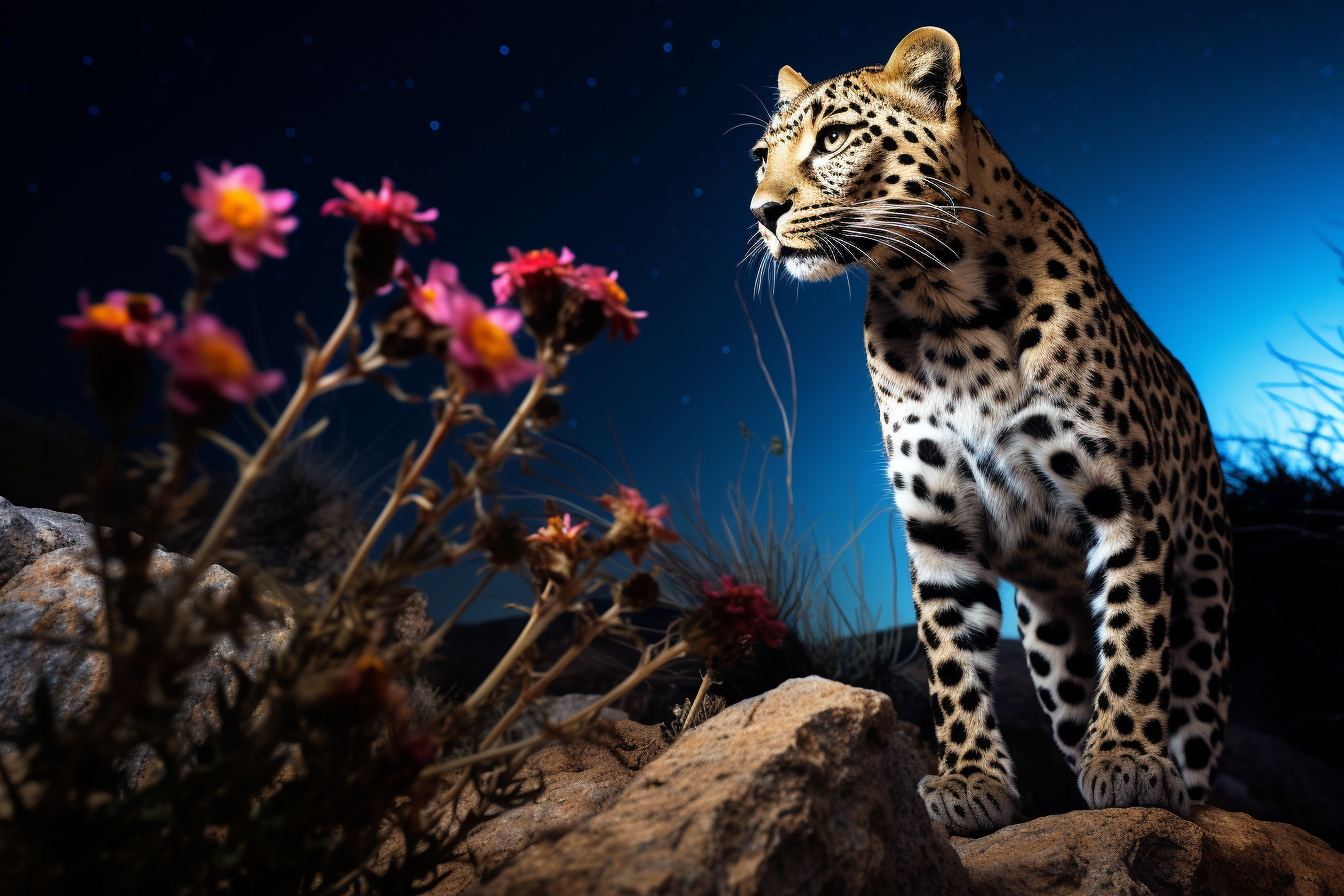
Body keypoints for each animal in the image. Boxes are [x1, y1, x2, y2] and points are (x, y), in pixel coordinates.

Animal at [752, 29, 1231, 843]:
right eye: (761, 155)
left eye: (835, 139)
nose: (761, 211)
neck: (942, 303)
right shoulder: (938, 528)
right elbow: (951, 664)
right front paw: (970, 781)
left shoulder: (1125, 506)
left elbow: (1134, 640)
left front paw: (1128, 761)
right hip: (1048, 638)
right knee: (1070, 703)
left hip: (1203, 597)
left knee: (1192, 715)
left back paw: (1178, 789)